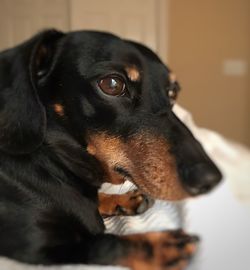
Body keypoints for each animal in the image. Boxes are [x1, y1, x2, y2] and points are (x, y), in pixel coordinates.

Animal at [0, 28, 223, 268]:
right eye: (112, 84)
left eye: (173, 92)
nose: (211, 180)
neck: (53, 162)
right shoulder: (36, 248)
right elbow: (102, 244)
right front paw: (162, 247)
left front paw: (124, 199)